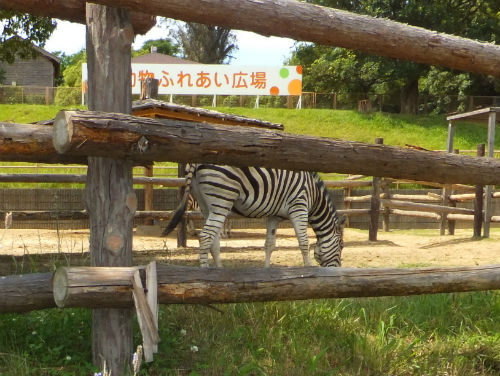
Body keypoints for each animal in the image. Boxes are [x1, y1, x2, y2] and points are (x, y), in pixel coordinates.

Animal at [162, 164, 346, 268]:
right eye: (341, 246)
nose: (337, 269)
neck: (314, 195)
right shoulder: (299, 207)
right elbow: (304, 242)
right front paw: (308, 269)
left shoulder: (274, 216)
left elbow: (269, 245)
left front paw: (267, 270)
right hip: (222, 199)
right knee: (206, 236)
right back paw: (205, 270)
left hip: (206, 203)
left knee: (213, 238)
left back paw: (220, 269)